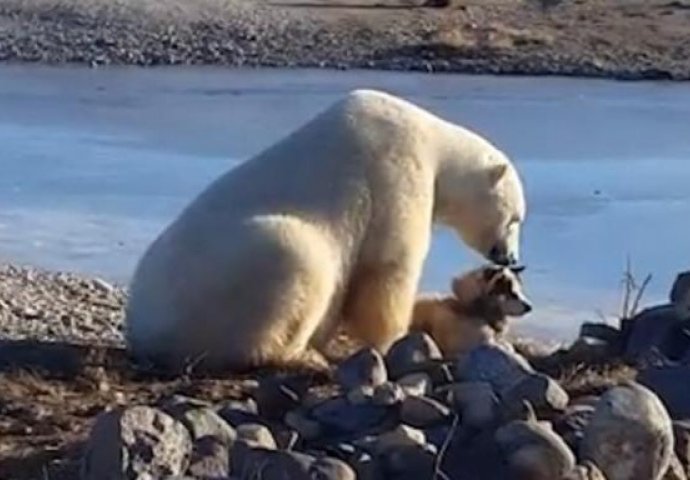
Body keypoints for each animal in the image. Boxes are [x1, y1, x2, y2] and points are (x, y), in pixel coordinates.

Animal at [123, 88, 524, 372]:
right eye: (516, 218)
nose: (510, 257)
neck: (434, 141)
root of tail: (143, 329)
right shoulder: (396, 172)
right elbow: (388, 268)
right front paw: (396, 338)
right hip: (222, 281)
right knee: (296, 257)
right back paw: (298, 356)